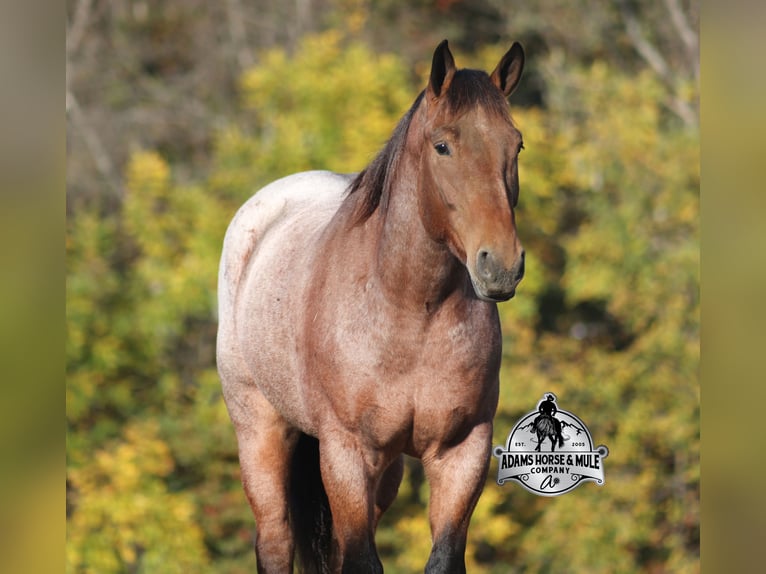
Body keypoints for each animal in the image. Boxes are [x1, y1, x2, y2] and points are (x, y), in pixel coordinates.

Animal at [217, 39, 526, 573]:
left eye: (517, 145)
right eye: (442, 146)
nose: (500, 265)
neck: (411, 310)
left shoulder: (462, 451)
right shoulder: (347, 452)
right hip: (260, 429)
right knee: (275, 539)